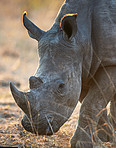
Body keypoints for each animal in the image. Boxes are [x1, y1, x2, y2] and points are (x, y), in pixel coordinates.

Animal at [10, 0, 116, 147]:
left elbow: (91, 103)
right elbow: (91, 101)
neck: (81, 37)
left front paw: (81, 143)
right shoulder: (83, 67)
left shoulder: (110, 62)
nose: (34, 127)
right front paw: (104, 137)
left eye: (61, 87)